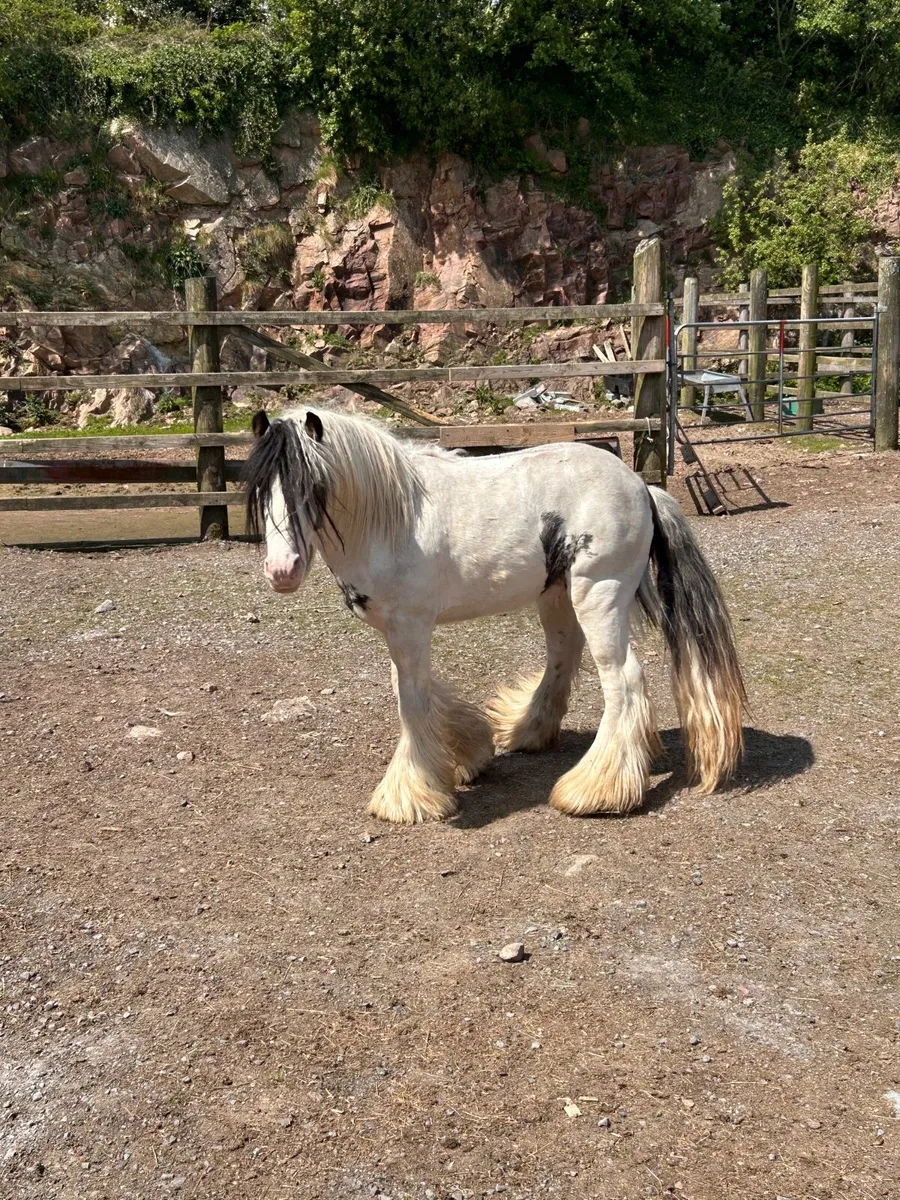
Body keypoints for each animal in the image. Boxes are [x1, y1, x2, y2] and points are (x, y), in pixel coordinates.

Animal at [244, 406, 746, 825]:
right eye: (262, 486)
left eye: (312, 487)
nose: (281, 571)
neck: (396, 518)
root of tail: (643, 487)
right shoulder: (400, 630)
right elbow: (412, 687)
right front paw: (468, 751)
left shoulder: (409, 626)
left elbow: (411, 700)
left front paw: (410, 794)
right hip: (557, 596)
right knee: (563, 657)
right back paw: (528, 731)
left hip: (598, 596)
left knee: (623, 680)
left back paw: (595, 791)